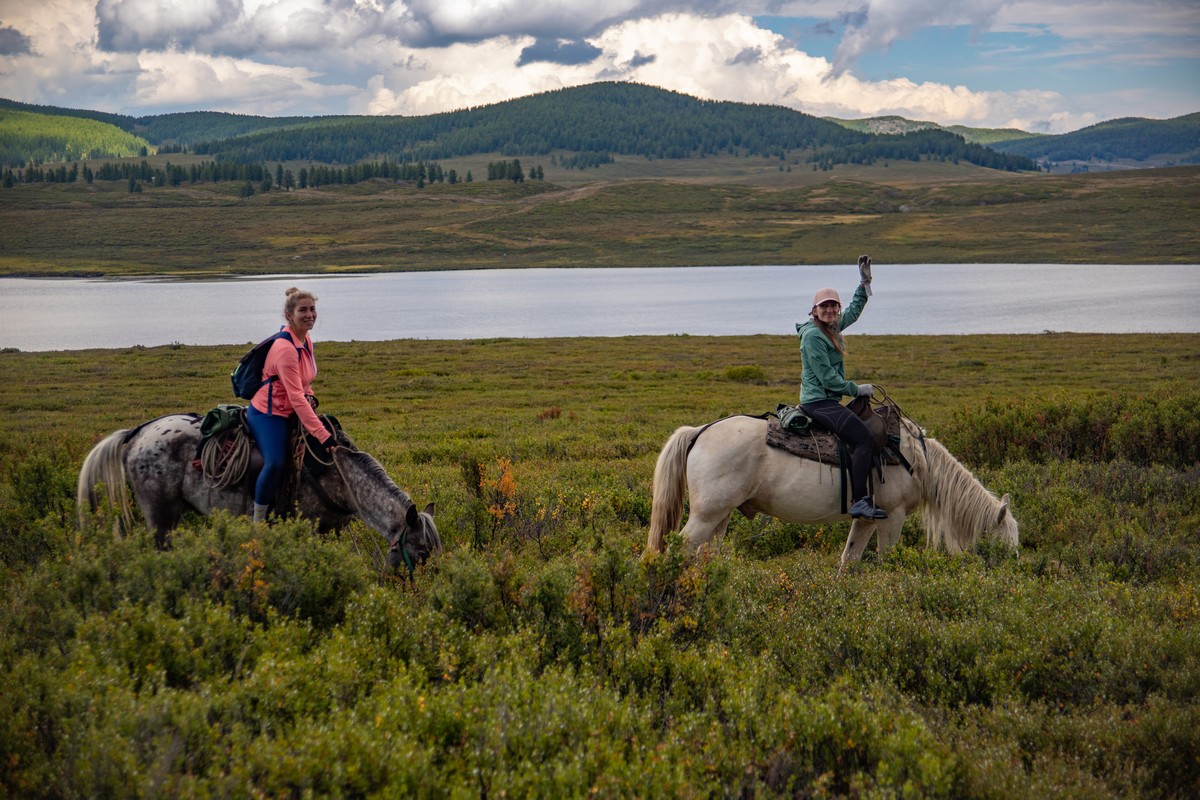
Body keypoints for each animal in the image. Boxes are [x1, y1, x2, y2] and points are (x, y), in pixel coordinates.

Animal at [648, 412, 1022, 568]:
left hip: (720, 517)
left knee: (704, 555)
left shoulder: (868, 519)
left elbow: (849, 560)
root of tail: (700, 431)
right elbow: (886, 558)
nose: (1014, 571)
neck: (917, 461)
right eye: (1004, 542)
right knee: (678, 548)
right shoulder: (893, 517)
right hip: (706, 515)